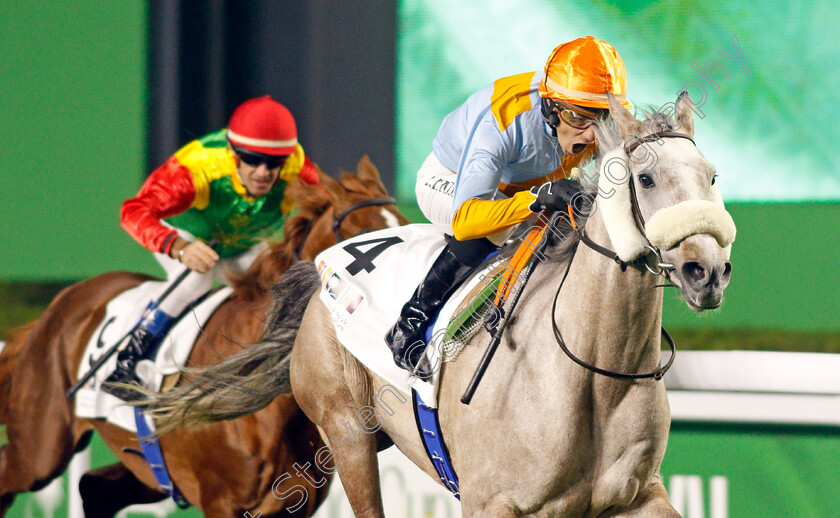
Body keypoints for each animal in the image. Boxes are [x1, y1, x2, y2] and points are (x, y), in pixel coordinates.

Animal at [0, 158, 406, 518]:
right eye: (367, 244)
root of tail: (64, 301)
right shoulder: (223, 503)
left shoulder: (296, 503)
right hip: (41, 446)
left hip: (146, 468)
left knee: (93, 488)